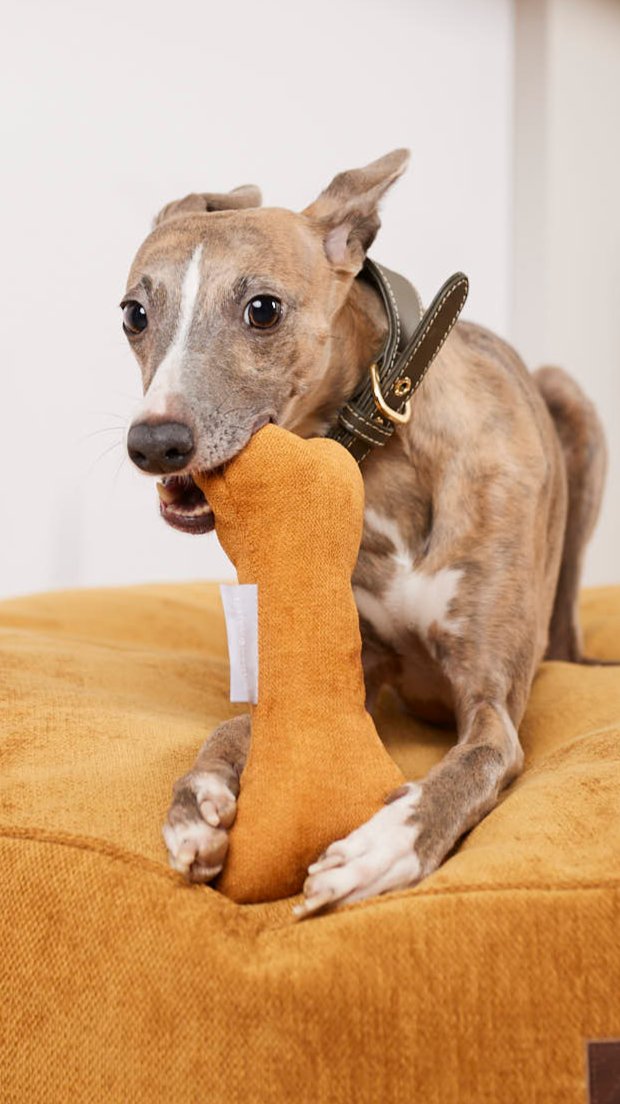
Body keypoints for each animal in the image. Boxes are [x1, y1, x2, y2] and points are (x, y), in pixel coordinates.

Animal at [119, 149, 604, 914]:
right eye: (134, 313)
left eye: (263, 309)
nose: (153, 444)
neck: (388, 474)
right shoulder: (356, 670)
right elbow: (240, 724)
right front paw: (196, 805)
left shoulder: (494, 703)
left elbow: (471, 765)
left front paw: (380, 847)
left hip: (573, 407)